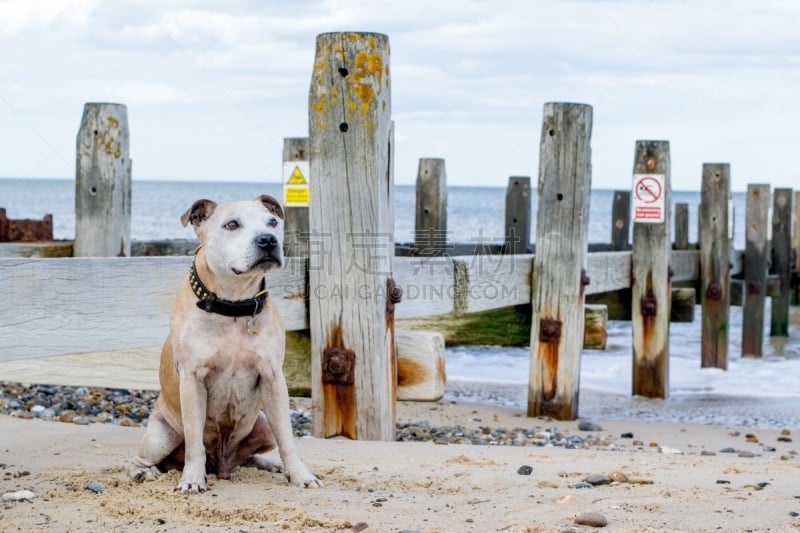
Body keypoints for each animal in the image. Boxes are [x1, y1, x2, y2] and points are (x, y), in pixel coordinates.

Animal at [130, 193, 320, 492]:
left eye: (273, 222)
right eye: (232, 224)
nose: (268, 239)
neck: (235, 304)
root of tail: (221, 466)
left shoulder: (273, 378)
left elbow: (287, 438)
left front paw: (300, 474)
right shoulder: (192, 380)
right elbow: (195, 441)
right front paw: (191, 480)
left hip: (262, 424)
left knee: (250, 455)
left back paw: (270, 465)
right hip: (159, 437)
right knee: (144, 460)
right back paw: (144, 473)